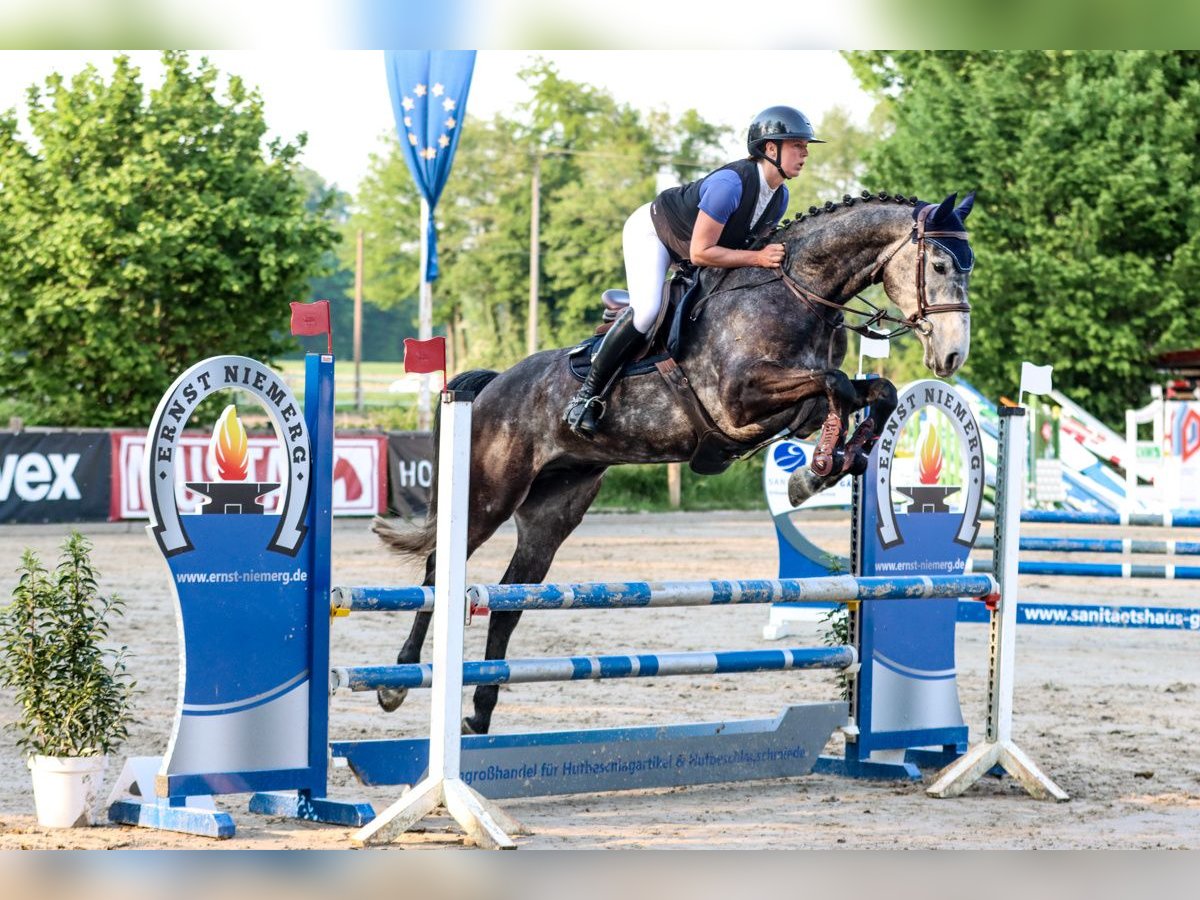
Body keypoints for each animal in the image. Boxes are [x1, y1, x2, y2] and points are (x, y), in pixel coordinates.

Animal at [375, 189, 976, 734]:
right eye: (940, 264)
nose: (951, 356)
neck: (795, 293)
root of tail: (492, 385)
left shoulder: (791, 402)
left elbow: (874, 391)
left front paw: (830, 463)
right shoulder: (739, 399)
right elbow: (838, 386)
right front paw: (816, 470)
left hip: (553, 511)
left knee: (509, 601)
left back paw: (479, 713)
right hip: (489, 495)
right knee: (438, 569)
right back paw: (395, 681)